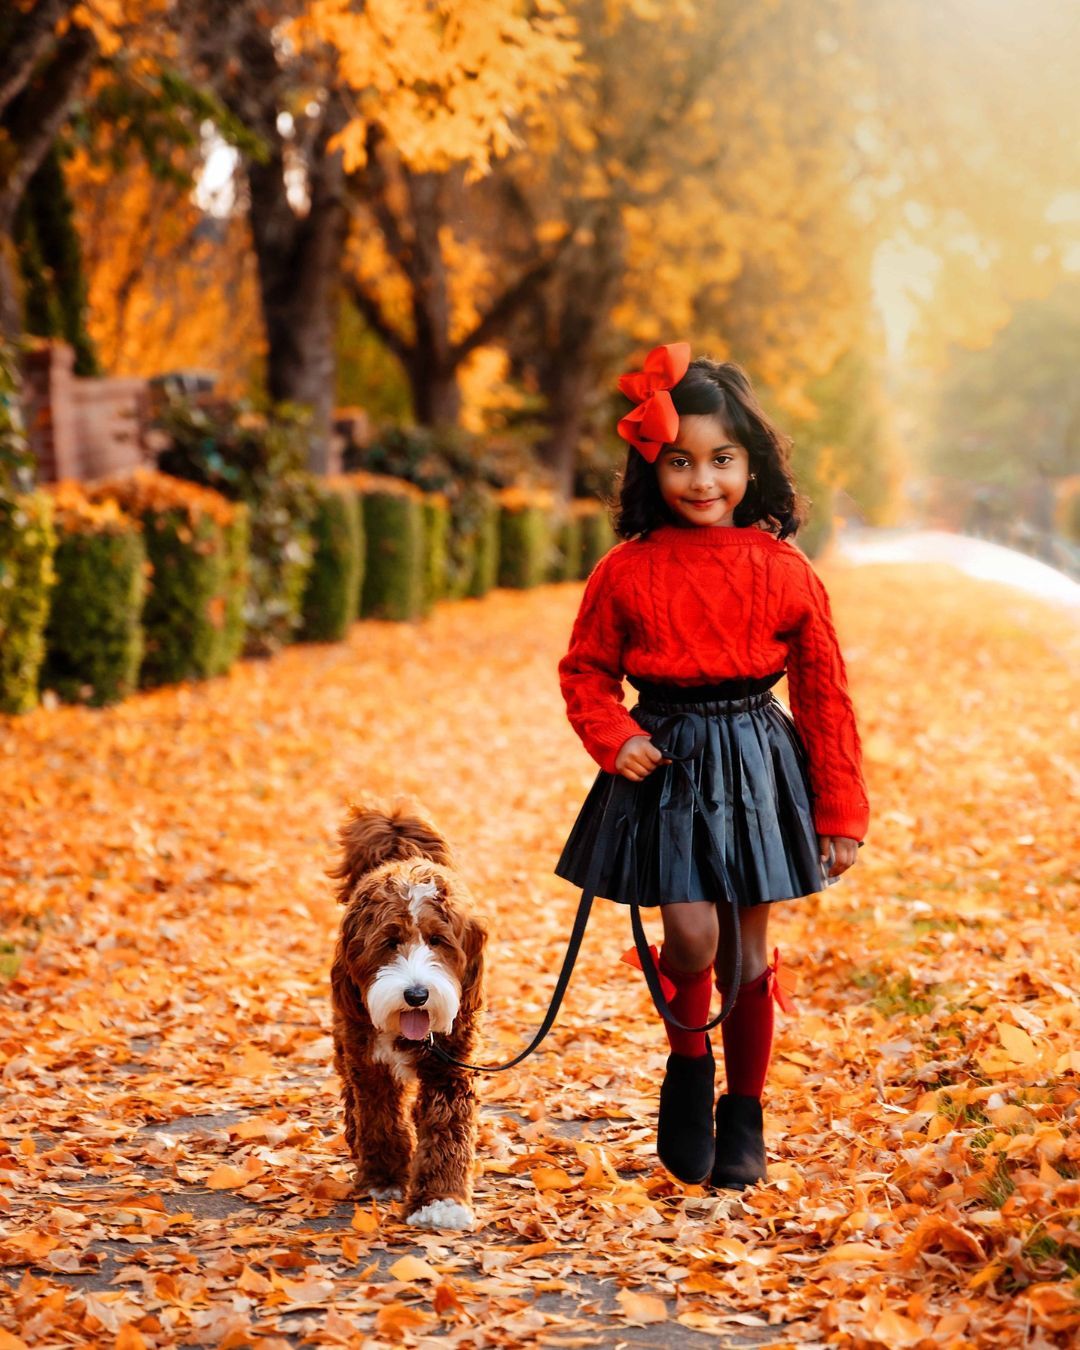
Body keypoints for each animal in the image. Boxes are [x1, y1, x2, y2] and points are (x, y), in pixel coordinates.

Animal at [325, 799, 486, 1236]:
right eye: (389, 942)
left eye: (438, 940)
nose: (416, 995)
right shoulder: (371, 1064)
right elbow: (379, 1118)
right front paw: (383, 1179)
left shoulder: (450, 1069)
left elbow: (448, 1130)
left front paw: (442, 1202)